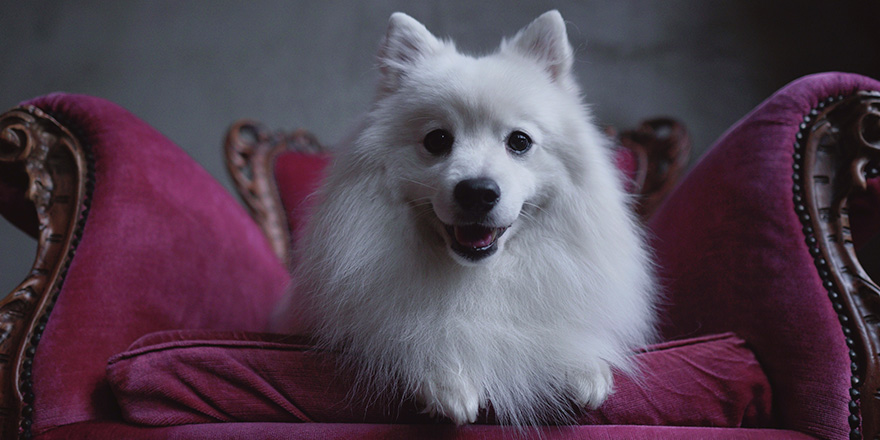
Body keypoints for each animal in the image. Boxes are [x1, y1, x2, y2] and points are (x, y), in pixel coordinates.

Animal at [272, 8, 656, 424]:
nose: (477, 192)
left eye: (519, 141)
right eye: (437, 140)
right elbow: (405, 337)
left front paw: (582, 363)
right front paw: (446, 377)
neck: (475, 277)